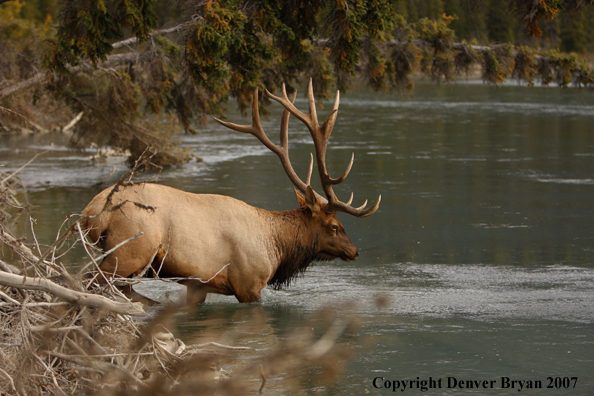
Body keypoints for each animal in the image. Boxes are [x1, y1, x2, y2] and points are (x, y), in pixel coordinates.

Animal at [81, 79, 380, 304]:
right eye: (335, 226)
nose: (355, 251)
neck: (276, 246)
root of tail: (91, 214)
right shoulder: (249, 284)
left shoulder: (198, 284)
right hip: (129, 251)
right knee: (91, 282)